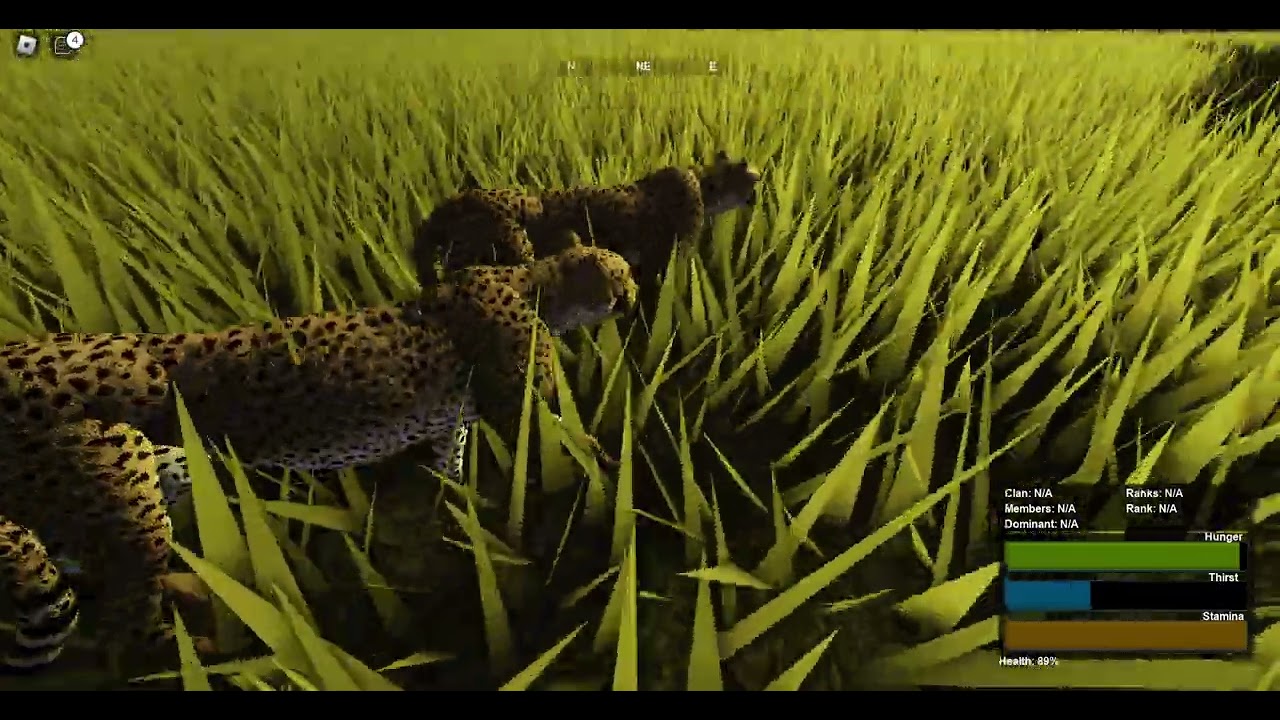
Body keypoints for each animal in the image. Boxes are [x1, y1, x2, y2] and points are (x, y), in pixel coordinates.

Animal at [0, 246, 635, 672]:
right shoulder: (518, 402)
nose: (633, 294)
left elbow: (450, 472)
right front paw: (605, 478)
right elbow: (565, 441)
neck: (531, 282)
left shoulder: (449, 425)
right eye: (620, 272)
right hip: (130, 494)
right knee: (123, 628)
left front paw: (462, 512)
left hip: (151, 475)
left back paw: (200, 593)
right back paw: (217, 653)